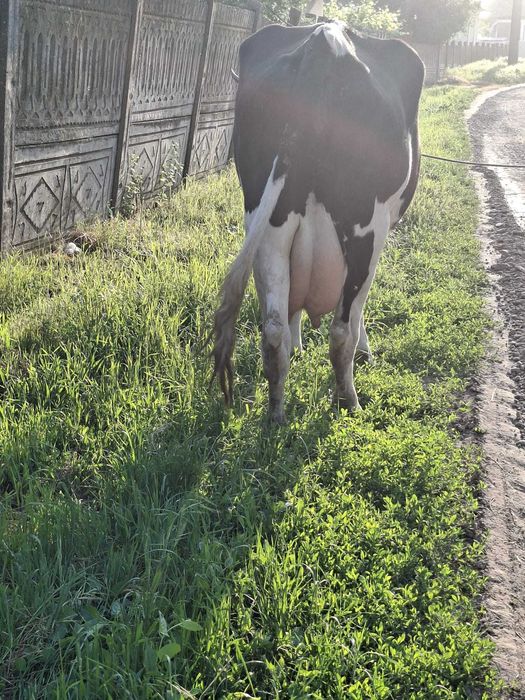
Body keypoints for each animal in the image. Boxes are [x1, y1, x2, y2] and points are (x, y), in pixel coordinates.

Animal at [212, 21, 425, 423]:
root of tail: (325, 41)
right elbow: (356, 314)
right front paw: (366, 352)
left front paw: (297, 346)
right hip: (365, 229)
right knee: (341, 329)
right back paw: (349, 402)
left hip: (267, 219)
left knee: (273, 327)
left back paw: (276, 412)